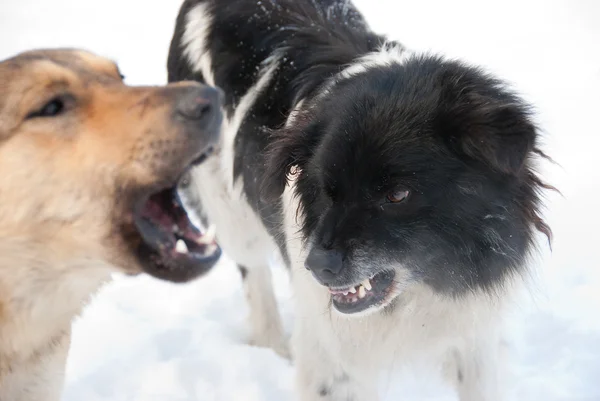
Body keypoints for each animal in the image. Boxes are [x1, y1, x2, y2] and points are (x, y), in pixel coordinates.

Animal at [166, 1, 552, 398]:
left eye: (397, 194)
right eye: (326, 189)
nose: (317, 266)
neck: (420, 289)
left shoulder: (474, 339)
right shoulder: (333, 358)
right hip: (231, 212)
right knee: (253, 272)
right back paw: (272, 345)